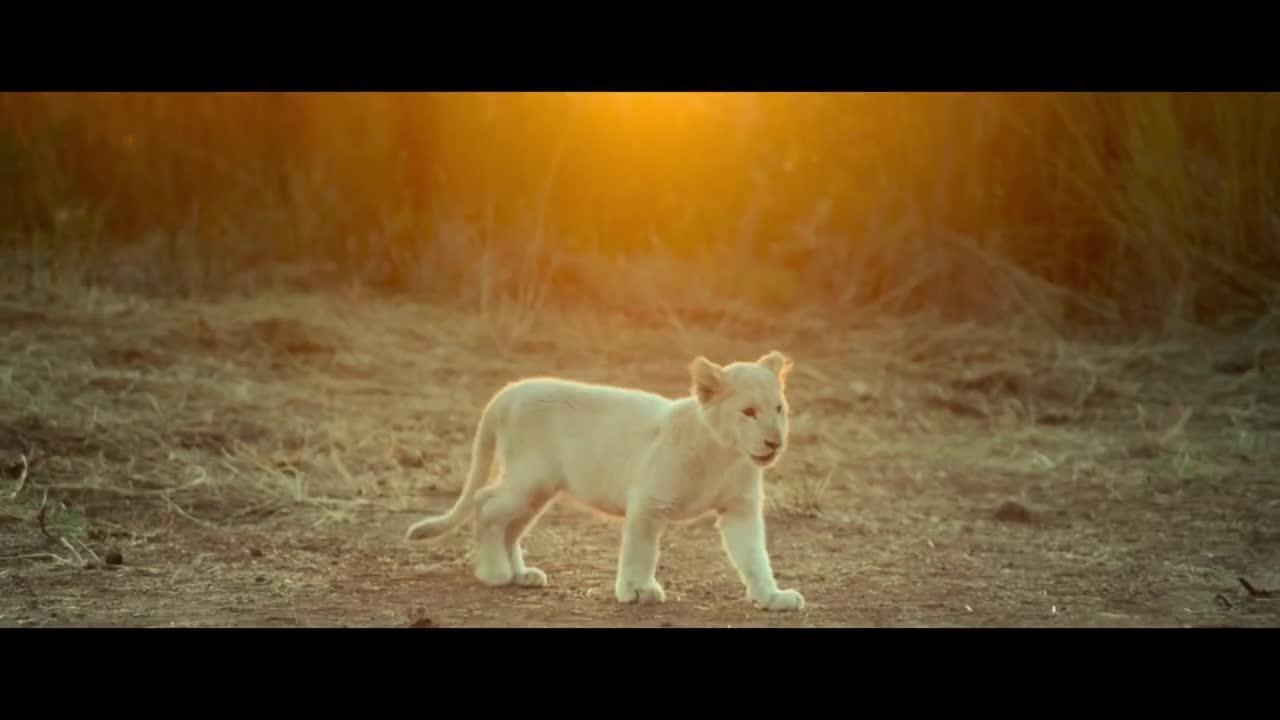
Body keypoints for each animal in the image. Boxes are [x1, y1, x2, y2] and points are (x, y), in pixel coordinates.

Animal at [404, 350, 805, 612]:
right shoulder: (648, 501)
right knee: (485, 503)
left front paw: (772, 597)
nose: (775, 442)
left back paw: (521, 574)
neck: (725, 455)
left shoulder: (740, 510)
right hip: (529, 478)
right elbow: (641, 551)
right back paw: (494, 573)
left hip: (538, 489)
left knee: (510, 525)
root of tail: (509, 391)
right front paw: (637, 590)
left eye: (779, 409)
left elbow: (754, 556)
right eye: (749, 412)